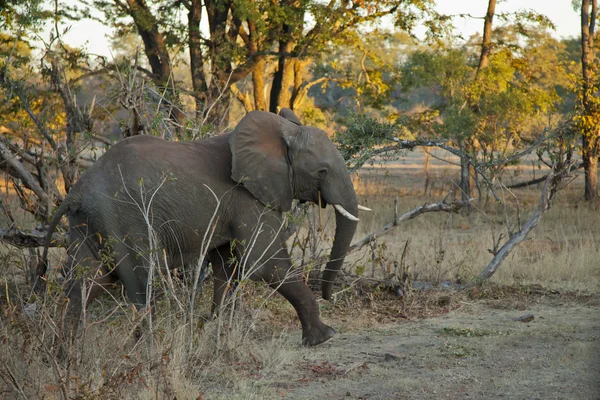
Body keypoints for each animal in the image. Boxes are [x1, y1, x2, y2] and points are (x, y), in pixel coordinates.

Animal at [39, 108, 366, 346]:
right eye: (322, 171)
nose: (330, 295)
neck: (280, 133)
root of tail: (76, 192)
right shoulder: (246, 197)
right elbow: (265, 264)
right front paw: (324, 338)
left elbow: (226, 266)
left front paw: (213, 331)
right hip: (124, 217)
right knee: (144, 284)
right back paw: (148, 350)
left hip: (89, 222)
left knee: (87, 282)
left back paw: (64, 355)